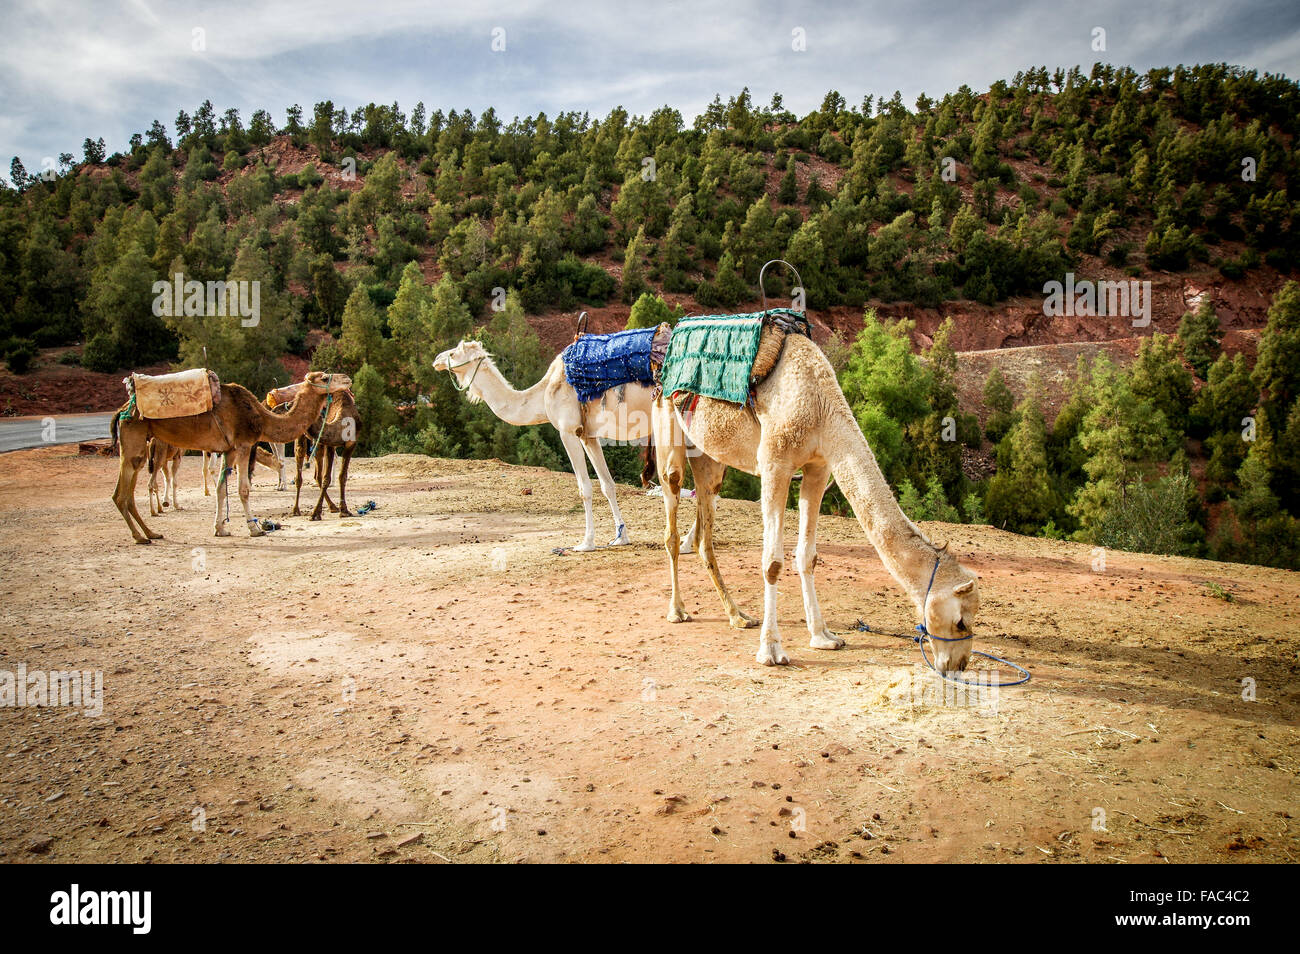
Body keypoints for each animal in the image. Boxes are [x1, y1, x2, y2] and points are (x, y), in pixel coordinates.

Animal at [110, 369, 351, 540]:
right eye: (325, 377)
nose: (347, 379)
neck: (261, 417)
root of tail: (121, 410)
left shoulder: (230, 450)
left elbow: (220, 488)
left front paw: (220, 528)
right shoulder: (243, 444)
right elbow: (243, 489)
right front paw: (254, 528)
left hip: (139, 444)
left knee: (126, 492)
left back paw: (150, 533)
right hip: (134, 438)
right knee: (122, 493)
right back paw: (140, 535)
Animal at [431, 343, 702, 553]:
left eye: (454, 352)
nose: (436, 360)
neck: (543, 394)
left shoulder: (567, 431)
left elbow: (585, 489)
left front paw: (586, 543)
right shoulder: (588, 435)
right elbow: (607, 486)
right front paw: (620, 537)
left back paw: (687, 543)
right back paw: (689, 542)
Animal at [655, 321, 977, 670]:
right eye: (961, 621)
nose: (958, 665)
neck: (821, 407)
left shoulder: (818, 469)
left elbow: (808, 556)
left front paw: (823, 636)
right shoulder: (775, 465)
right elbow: (772, 563)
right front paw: (771, 651)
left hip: (709, 457)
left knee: (705, 529)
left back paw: (738, 615)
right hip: (666, 428)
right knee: (671, 511)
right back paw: (677, 610)